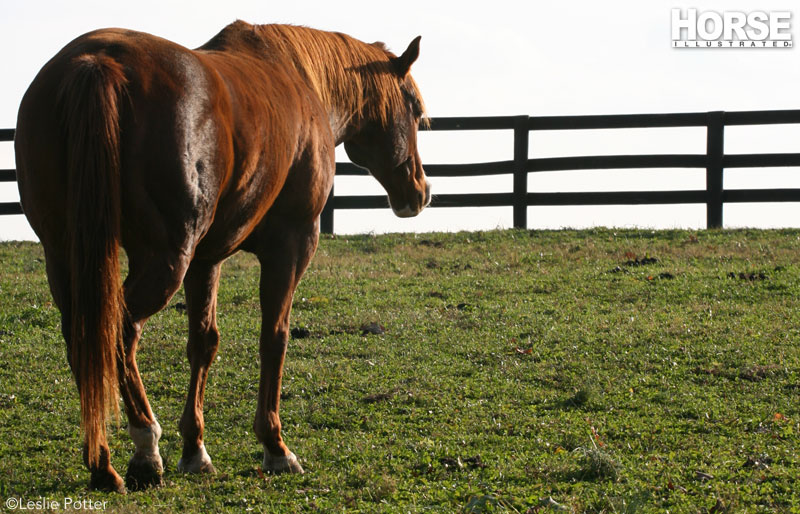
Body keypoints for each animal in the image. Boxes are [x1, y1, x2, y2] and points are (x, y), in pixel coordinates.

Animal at [15, 21, 428, 492]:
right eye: (415, 108)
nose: (419, 190)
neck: (300, 81)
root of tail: (97, 62)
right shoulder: (291, 245)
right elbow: (274, 337)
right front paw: (275, 446)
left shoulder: (205, 260)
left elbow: (203, 343)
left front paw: (195, 449)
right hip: (163, 260)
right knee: (119, 331)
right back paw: (145, 447)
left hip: (67, 256)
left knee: (87, 340)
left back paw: (103, 464)